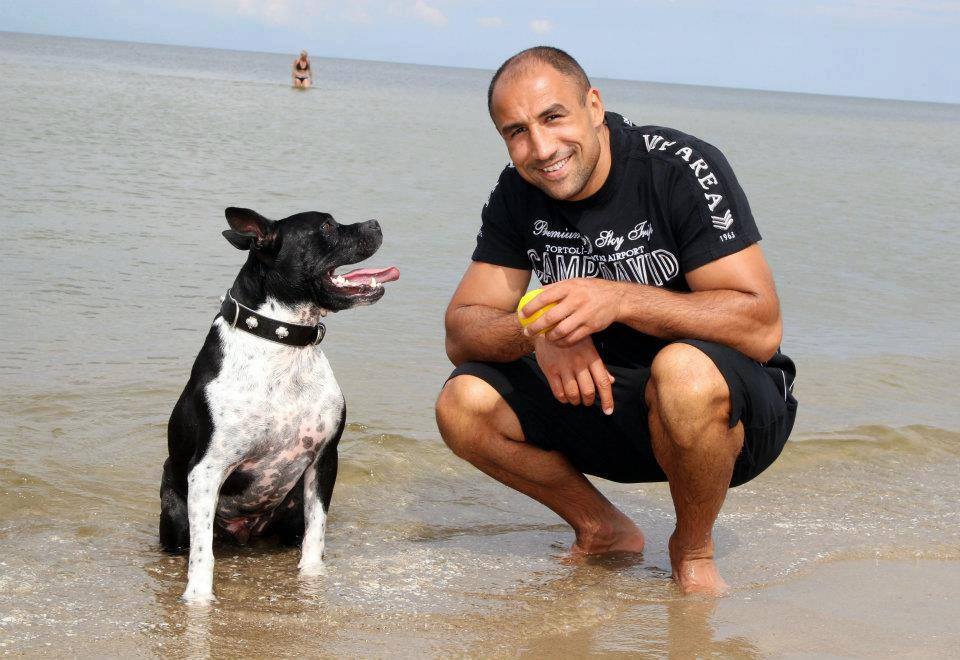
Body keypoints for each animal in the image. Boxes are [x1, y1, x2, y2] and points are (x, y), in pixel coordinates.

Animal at [160, 207, 398, 604]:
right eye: (327, 226)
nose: (376, 223)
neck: (285, 343)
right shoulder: (207, 471)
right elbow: (202, 550)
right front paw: (198, 599)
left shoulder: (323, 459)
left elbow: (317, 531)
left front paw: (312, 577)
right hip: (175, 513)